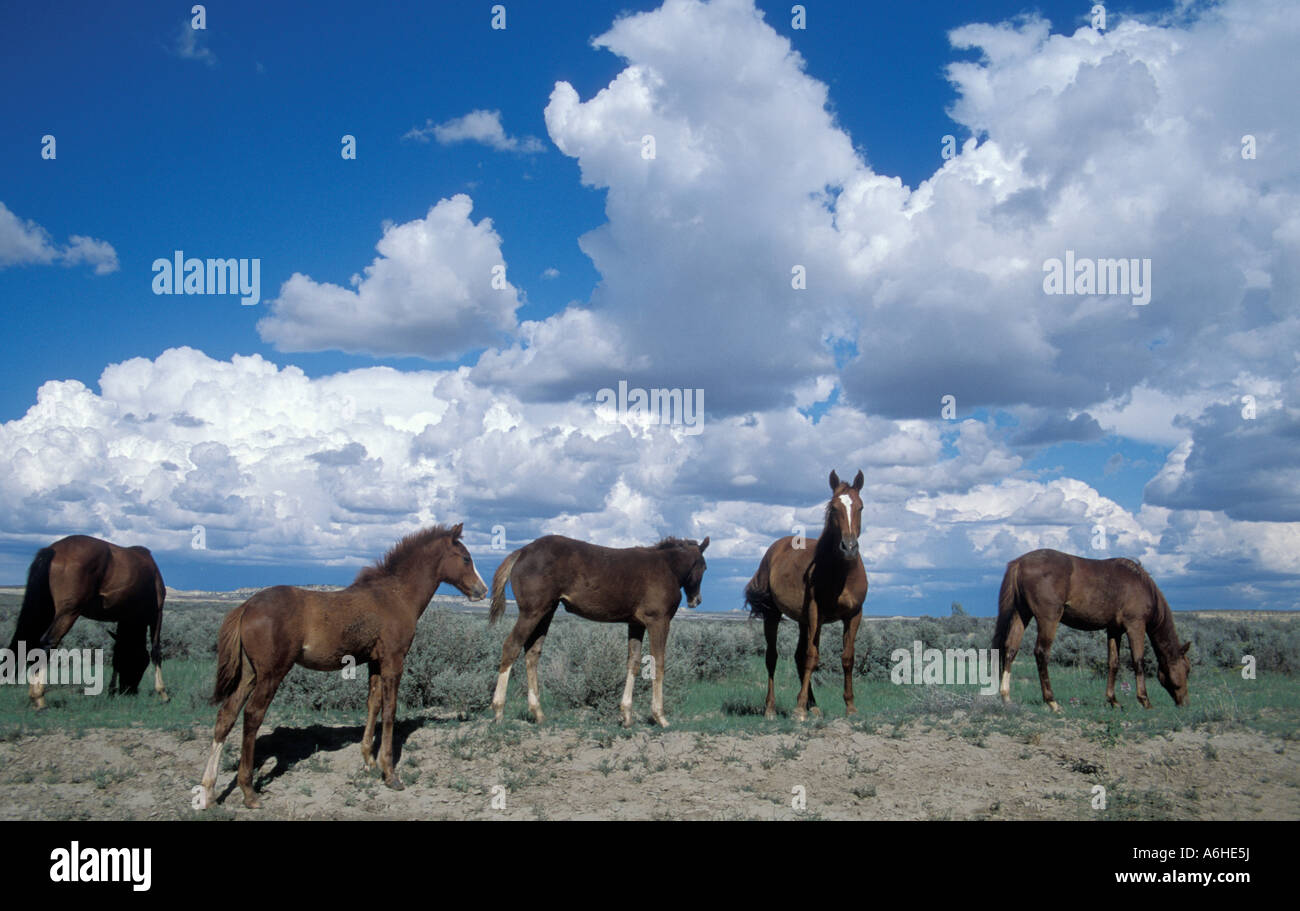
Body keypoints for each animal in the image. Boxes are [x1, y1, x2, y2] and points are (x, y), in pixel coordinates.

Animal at [7, 535, 168, 710]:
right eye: (141, 662)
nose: (128, 691)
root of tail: (53, 549)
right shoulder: (157, 614)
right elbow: (156, 650)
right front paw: (162, 692)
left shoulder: (124, 617)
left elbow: (118, 650)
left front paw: (111, 691)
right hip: (67, 614)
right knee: (47, 643)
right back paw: (39, 698)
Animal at [199, 523, 488, 809]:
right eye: (466, 558)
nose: (482, 590)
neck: (395, 595)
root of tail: (246, 606)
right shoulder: (393, 660)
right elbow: (390, 710)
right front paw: (390, 773)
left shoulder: (375, 662)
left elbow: (374, 704)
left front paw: (369, 762)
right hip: (272, 673)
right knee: (252, 715)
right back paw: (248, 792)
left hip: (249, 673)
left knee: (226, 715)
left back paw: (209, 792)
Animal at [488, 534, 709, 727]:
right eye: (704, 567)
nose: (696, 600)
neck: (667, 566)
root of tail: (522, 552)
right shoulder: (658, 621)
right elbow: (658, 664)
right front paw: (660, 717)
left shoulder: (636, 624)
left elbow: (634, 662)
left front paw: (626, 716)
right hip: (531, 612)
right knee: (511, 646)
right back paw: (498, 711)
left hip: (546, 611)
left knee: (532, 652)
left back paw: (538, 713)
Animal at [744, 470, 868, 721]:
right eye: (834, 508)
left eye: (860, 507)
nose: (849, 547)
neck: (842, 574)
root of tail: (774, 549)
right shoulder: (815, 613)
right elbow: (812, 656)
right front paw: (799, 709)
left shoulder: (854, 615)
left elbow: (847, 658)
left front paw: (850, 707)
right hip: (775, 615)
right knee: (772, 657)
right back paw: (771, 708)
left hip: (804, 622)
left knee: (798, 656)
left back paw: (814, 706)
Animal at [992, 548, 1191, 710]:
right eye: (1187, 670)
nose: (1184, 703)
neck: (1141, 585)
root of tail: (1019, 563)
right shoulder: (1135, 626)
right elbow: (1138, 661)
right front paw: (1144, 700)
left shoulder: (1114, 630)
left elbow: (1114, 663)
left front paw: (1113, 701)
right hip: (1048, 618)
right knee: (1041, 653)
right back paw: (1052, 702)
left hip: (1021, 614)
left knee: (1011, 649)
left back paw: (1006, 697)